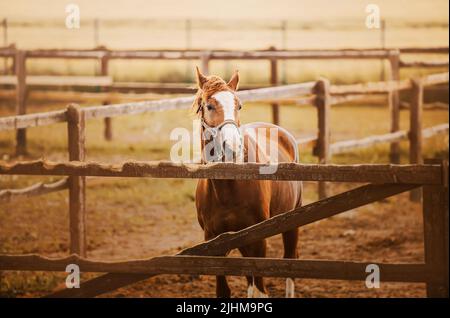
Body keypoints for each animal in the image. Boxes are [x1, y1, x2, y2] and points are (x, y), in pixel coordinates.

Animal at [192, 67, 302, 298]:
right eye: (209, 105)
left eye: (239, 105)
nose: (233, 146)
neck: (227, 187)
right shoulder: (213, 241)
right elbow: (225, 290)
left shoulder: (258, 240)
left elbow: (261, 288)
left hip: (292, 222)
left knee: (290, 262)